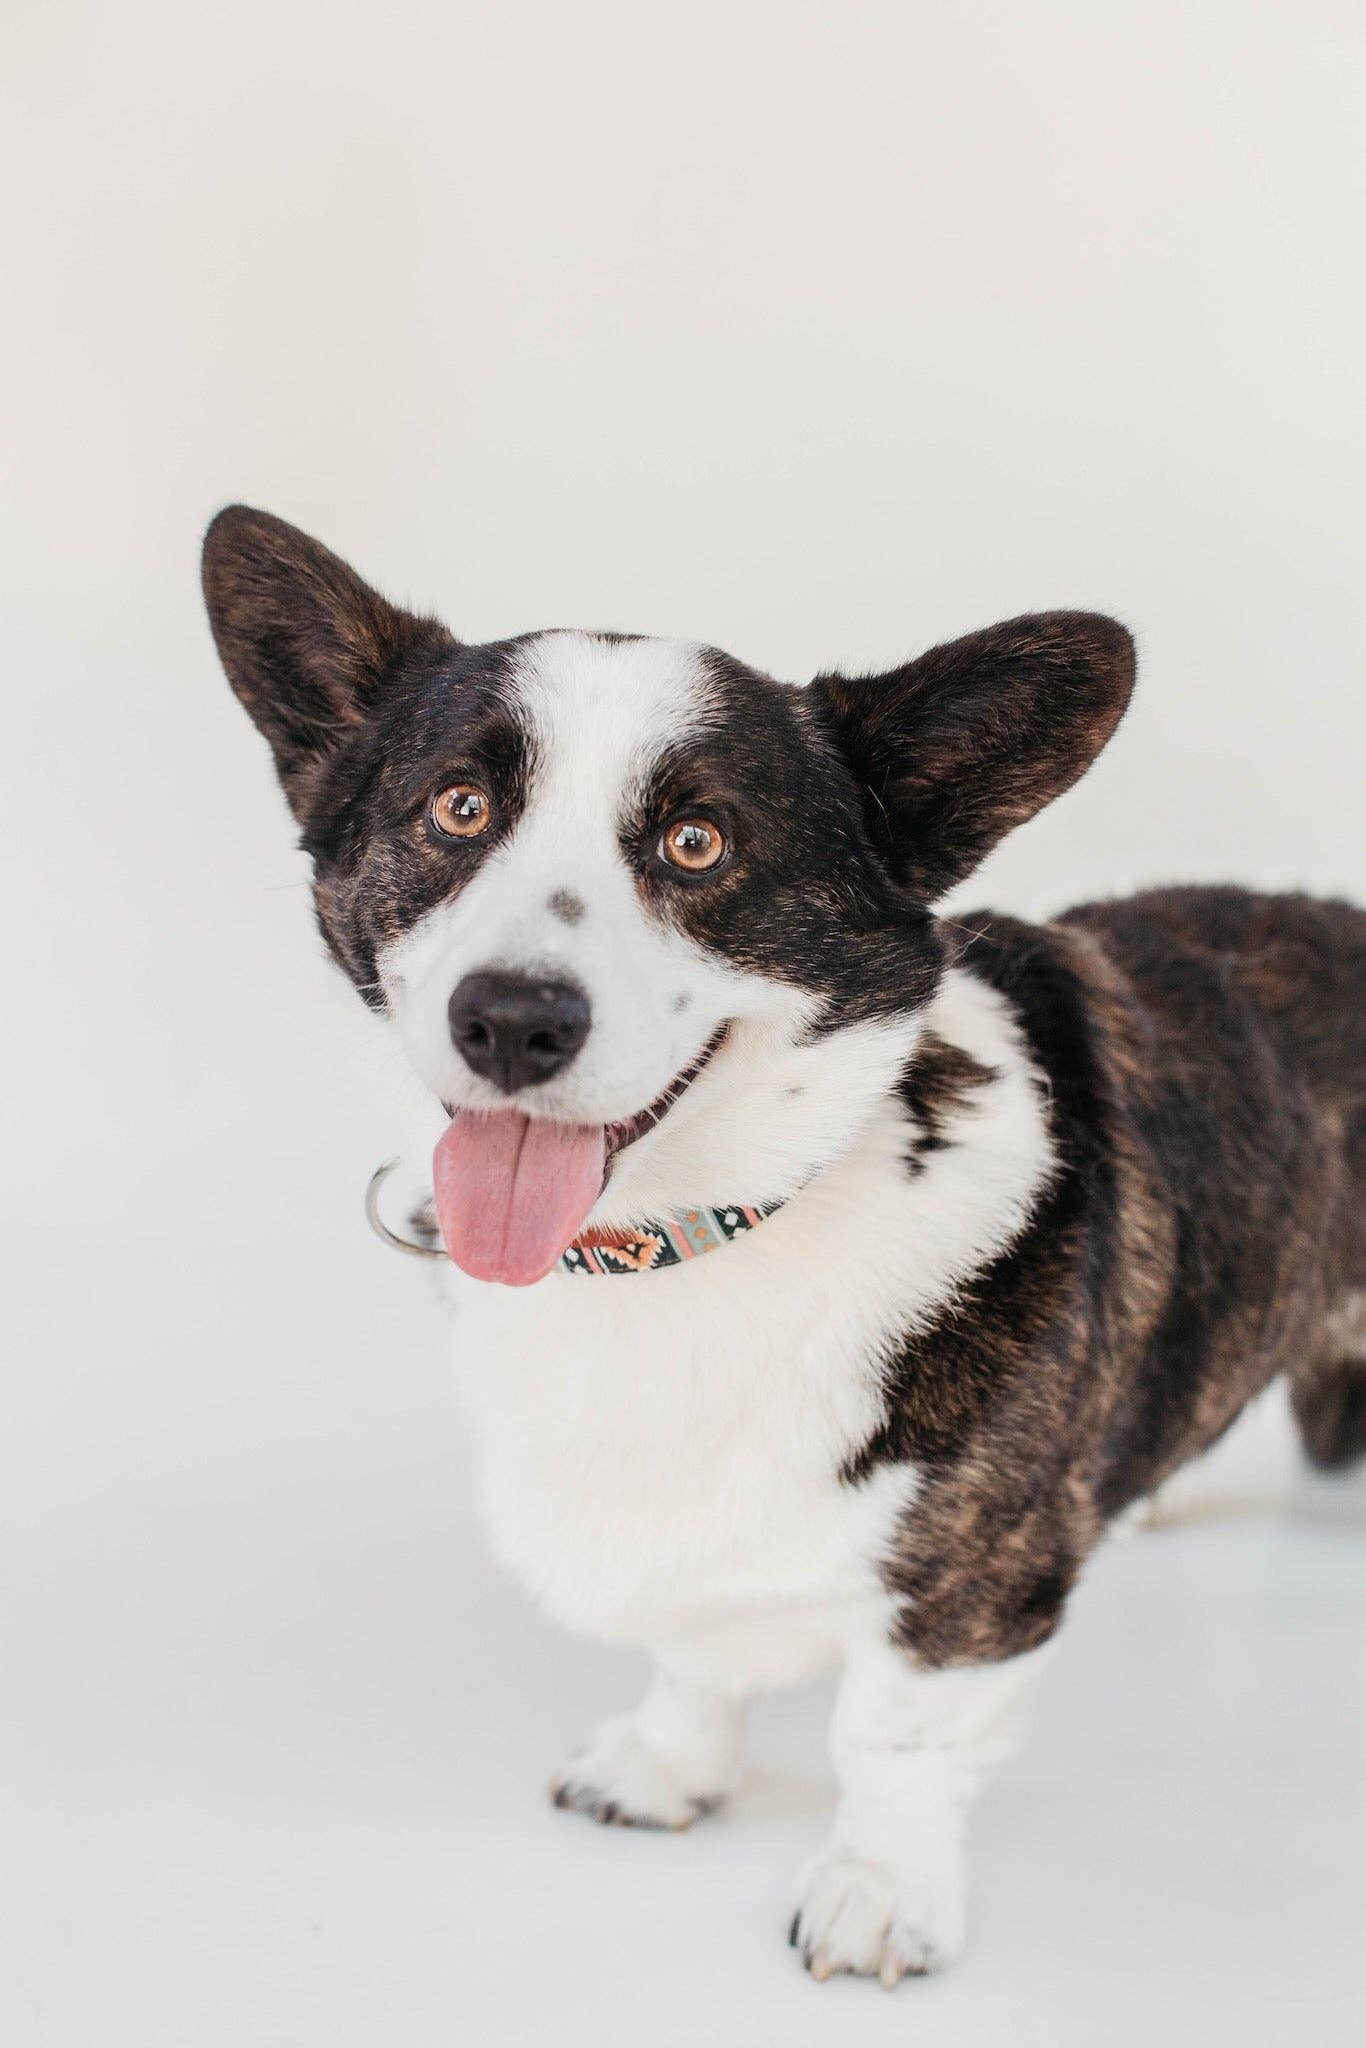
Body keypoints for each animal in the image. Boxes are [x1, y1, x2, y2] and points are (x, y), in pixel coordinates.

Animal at [203, 505, 1365, 1987]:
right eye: (456, 809)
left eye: (698, 843)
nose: (509, 1019)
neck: (676, 1248)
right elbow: (694, 1651)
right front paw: (664, 1765)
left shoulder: (962, 1597)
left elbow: (892, 1737)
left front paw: (878, 1892)